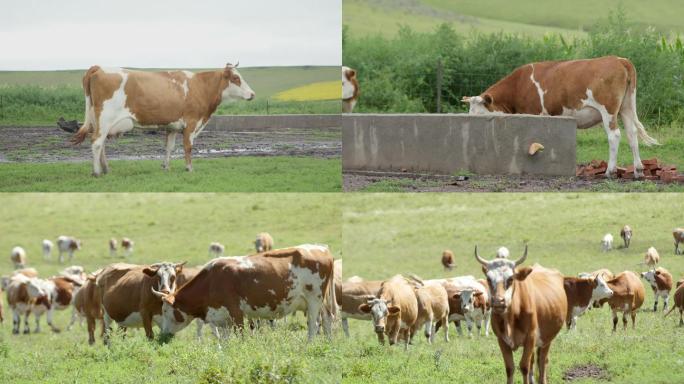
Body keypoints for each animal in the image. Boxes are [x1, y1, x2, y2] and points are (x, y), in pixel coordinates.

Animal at [71, 64, 254, 176]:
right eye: (236, 78)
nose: (252, 94)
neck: (200, 87)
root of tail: (98, 68)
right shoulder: (191, 123)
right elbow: (188, 147)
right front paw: (189, 168)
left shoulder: (172, 126)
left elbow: (169, 147)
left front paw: (166, 166)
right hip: (105, 118)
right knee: (96, 142)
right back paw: (96, 172)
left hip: (100, 121)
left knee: (100, 144)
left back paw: (105, 169)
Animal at [153, 244, 340, 340]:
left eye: (165, 310)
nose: (163, 334)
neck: (212, 280)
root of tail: (321, 248)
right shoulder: (222, 318)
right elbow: (225, 340)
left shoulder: (236, 312)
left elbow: (241, 335)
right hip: (320, 301)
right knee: (327, 319)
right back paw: (328, 344)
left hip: (314, 299)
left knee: (314, 324)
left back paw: (310, 344)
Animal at [462, 55, 660, 178]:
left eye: (479, 114)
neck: (519, 85)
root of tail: (619, 59)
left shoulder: (535, 113)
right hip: (626, 107)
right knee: (632, 134)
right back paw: (638, 170)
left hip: (608, 109)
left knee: (614, 135)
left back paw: (610, 172)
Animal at [476, 246, 568, 384]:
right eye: (488, 279)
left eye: (510, 279)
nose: (498, 302)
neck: (511, 318)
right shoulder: (502, 340)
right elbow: (510, 368)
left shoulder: (530, 337)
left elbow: (524, 366)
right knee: (533, 360)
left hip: (547, 338)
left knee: (543, 361)